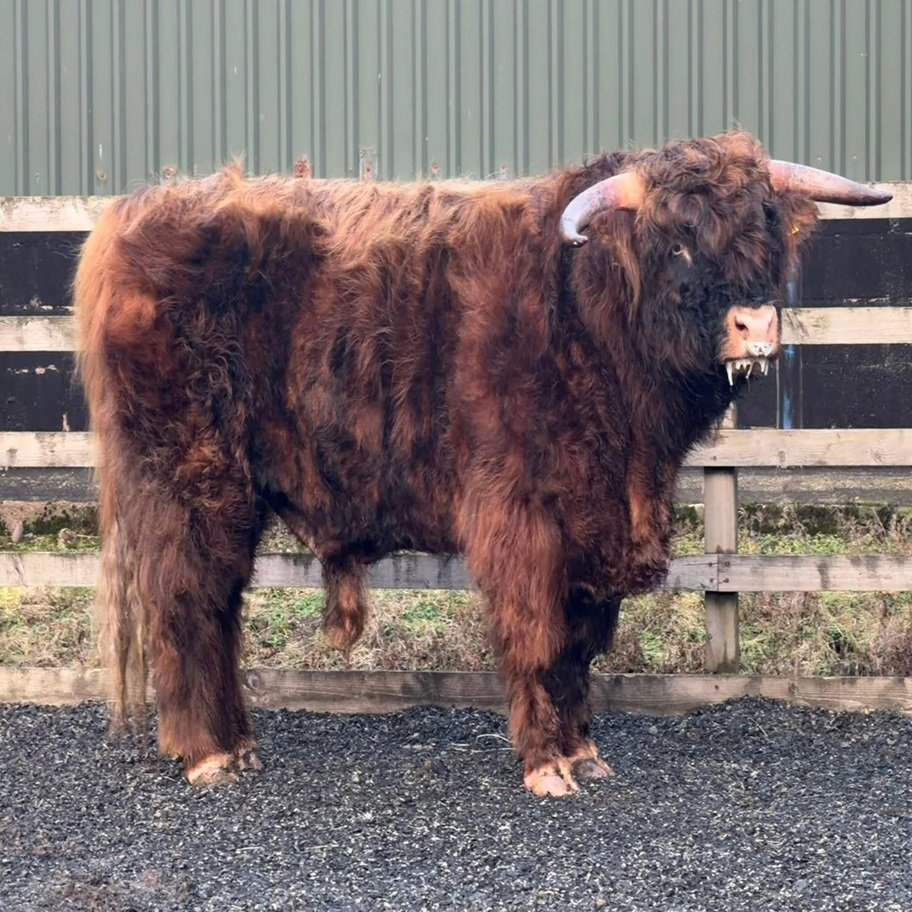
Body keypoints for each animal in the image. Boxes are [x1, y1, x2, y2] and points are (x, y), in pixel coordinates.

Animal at [74, 131, 890, 796]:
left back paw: (238, 744)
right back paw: (208, 754)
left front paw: (584, 749)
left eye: (766, 228)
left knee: (216, 610)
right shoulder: (519, 513)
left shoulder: (593, 521)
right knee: (190, 601)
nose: (755, 325)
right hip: (191, 482)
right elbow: (536, 633)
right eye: (678, 242)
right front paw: (546, 764)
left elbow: (581, 642)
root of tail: (136, 214)